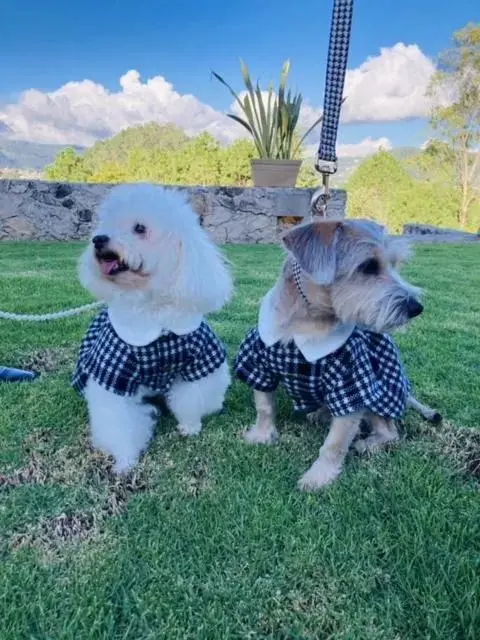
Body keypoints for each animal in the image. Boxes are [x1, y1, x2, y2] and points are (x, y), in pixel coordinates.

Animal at [71, 182, 234, 472]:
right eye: (106, 224)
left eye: (139, 228)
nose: (98, 239)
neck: (155, 316)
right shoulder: (113, 374)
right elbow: (119, 423)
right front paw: (125, 461)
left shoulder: (198, 362)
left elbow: (189, 399)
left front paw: (190, 427)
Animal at [234, 219, 440, 490]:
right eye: (368, 266)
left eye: (394, 264)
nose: (416, 308)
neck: (306, 326)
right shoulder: (259, 364)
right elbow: (264, 406)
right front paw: (262, 435)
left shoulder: (352, 384)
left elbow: (335, 442)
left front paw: (319, 476)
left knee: (390, 433)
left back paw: (367, 443)